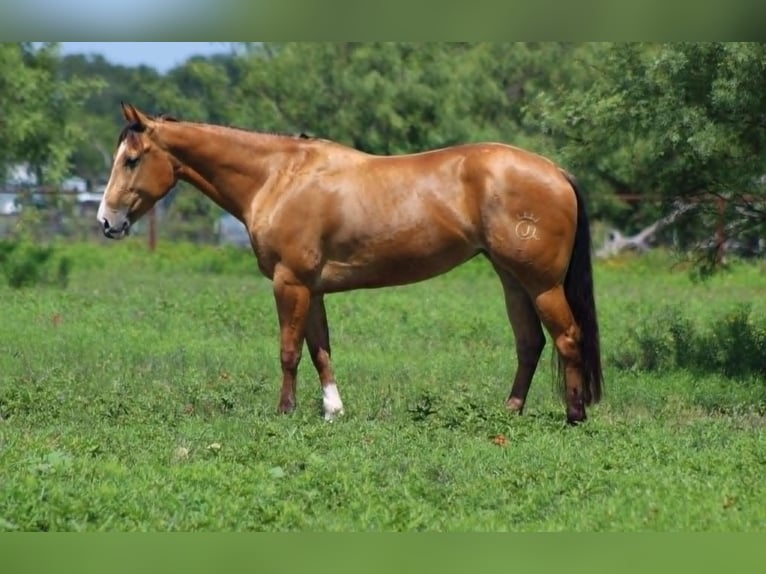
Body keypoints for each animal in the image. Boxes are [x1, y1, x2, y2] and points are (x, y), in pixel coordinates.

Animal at [98, 103, 603, 424]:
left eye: (132, 159)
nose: (107, 221)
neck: (279, 177)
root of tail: (556, 172)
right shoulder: (313, 289)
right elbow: (320, 350)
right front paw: (332, 411)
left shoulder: (290, 283)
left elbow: (288, 350)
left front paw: (285, 412)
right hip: (512, 280)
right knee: (530, 343)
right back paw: (511, 411)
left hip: (541, 284)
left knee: (568, 337)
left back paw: (574, 415)